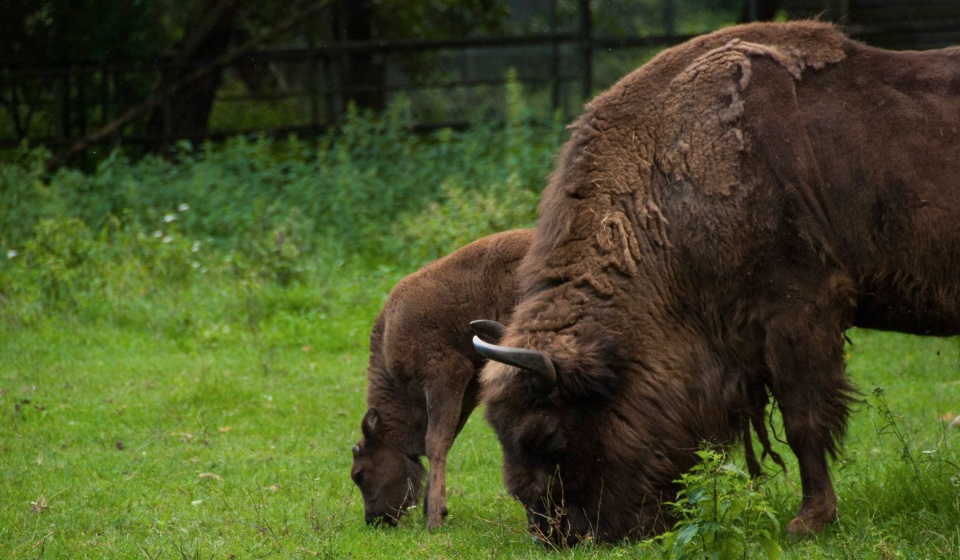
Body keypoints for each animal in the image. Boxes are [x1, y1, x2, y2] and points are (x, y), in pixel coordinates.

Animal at [350, 230, 532, 528]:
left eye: (359, 475)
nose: (374, 519)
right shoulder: (467, 389)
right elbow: (447, 436)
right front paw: (432, 508)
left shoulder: (445, 374)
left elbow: (435, 441)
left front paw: (434, 518)